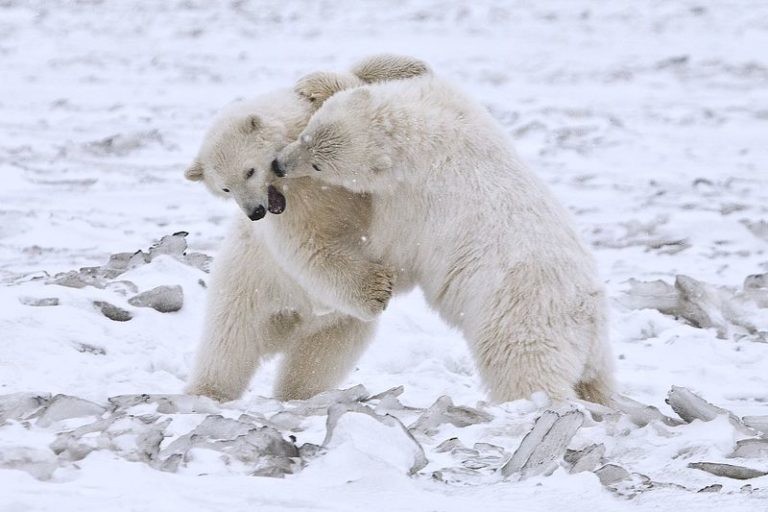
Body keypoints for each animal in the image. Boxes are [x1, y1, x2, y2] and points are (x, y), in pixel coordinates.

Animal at [183, 55, 428, 400]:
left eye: (249, 171)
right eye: (224, 188)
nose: (255, 212)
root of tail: (287, 326)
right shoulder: (290, 215)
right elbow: (309, 247)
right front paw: (377, 288)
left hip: (336, 325)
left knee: (316, 361)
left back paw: (298, 394)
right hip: (244, 292)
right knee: (227, 347)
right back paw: (207, 391)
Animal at [272, 75, 616, 404]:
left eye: (317, 165)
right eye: (306, 136)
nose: (278, 165)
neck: (425, 135)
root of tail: (589, 315)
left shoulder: (415, 200)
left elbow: (389, 246)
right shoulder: (458, 105)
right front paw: (316, 85)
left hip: (520, 316)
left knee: (522, 366)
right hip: (595, 351)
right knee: (597, 382)